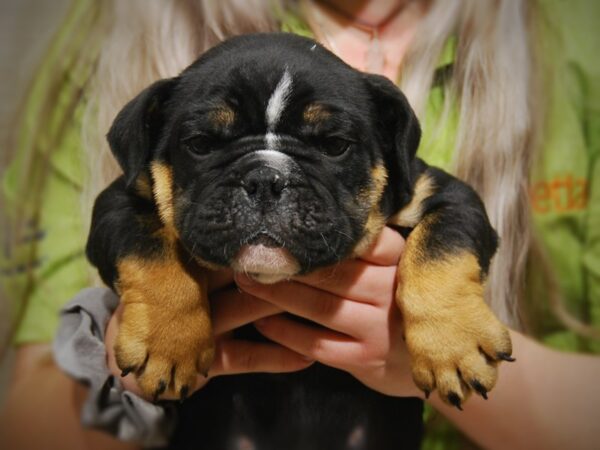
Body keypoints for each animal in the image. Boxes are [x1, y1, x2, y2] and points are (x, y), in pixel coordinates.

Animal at [86, 32, 512, 422]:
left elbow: (441, 247)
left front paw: (453, 343)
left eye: (335, 145)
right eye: (201, 143)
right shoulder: (118, 202)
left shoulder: (444, 196)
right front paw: (169, 342)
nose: (265, 178)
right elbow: (150, 251)